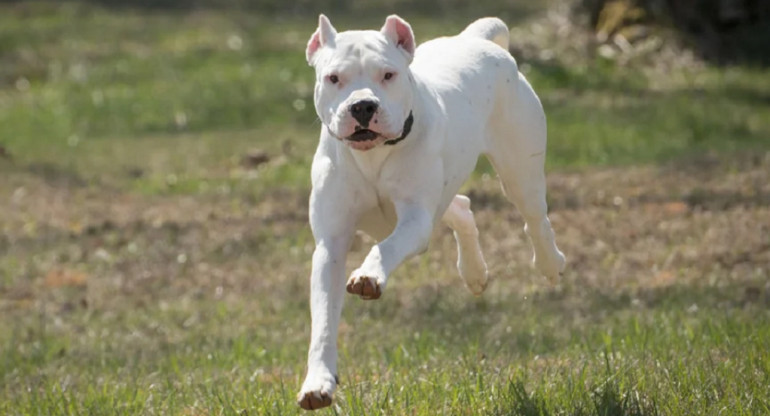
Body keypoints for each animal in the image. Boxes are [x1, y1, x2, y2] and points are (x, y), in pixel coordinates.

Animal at [294, 15, 564, 410]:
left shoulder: (415, 220)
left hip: (519, 169)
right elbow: (324, 321)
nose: (363, 106)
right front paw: (318, 383)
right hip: (447, 192)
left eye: (388, 75)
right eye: (333, 78)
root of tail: (477, 39)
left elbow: (386, 247)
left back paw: (550, 264)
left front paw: (369, 275)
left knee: (535, 218)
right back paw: (474, 272)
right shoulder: (331, 244)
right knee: (462, 208)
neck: (373, 156)